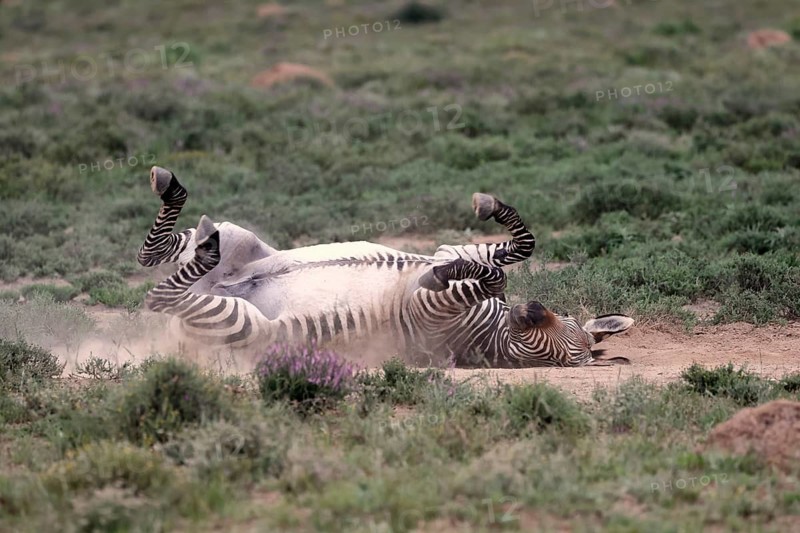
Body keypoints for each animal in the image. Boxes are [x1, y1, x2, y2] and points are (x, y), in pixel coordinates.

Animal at [140, 166, 634, 367]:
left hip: (239, 321)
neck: (491, 327)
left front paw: (442, 277)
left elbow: (494, 275)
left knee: (158, 293)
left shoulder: (426, 314)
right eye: (564, 322)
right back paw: (171, 191)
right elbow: (519, 248)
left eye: (553, 357)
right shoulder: (452, 247)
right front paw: (487, 208)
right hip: (241, 238)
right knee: (156, 253)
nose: (530, 310)